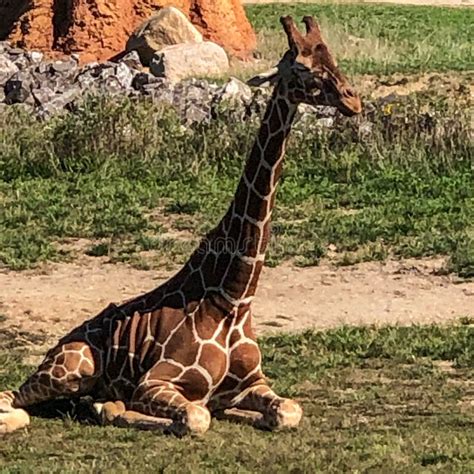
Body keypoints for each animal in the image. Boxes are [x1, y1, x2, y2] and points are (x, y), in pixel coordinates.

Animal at [0, 15, 362, 436]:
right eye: (302, 67)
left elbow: (288, 410)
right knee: (14, 399)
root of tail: (59, 342)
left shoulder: (254, 383)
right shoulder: (154, 382)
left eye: (331, 58)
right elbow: (196, 416)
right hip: (73, 365)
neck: (234, 297)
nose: (353, 100)